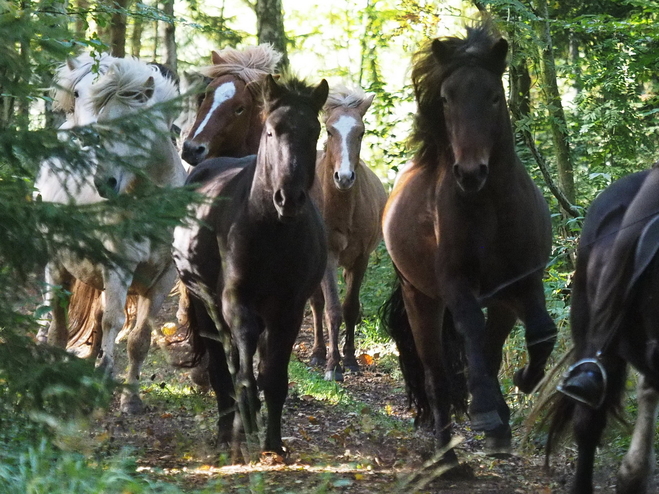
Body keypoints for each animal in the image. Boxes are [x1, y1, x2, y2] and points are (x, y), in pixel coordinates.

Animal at [38, 56, 187, 414]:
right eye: (105, 125)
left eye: (134, 127)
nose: (103, 182)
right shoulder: (119, 267)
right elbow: (113, 323)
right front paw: (104, 381)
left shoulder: (163, 277)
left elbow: (139, 338)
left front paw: (130, 398)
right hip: (58, 265)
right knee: (58, 321)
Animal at [173, 74, 330, 460]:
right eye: (272, 131)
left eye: (315, 132)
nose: (289, 198)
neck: (272, 230)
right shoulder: (236, 304)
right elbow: (241, 376)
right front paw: (246, 426)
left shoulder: (288, 310)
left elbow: (273, 378)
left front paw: (273, 443)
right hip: (205, 307)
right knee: (221, 369)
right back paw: (227, 433)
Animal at [308, 85, 386, 380]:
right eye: (330, 131)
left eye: (360, 132)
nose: (344, 177)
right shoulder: (328, 257)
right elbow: (332, 309)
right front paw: (333, 365)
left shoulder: (361, 258)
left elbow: (351, 308)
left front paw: (350, 360)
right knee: (316, 303)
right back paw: (318, 354)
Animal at [382, 24, 556, 470]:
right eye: (446, 98)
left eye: (494, 96)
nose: (470, 173)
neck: (490, 206)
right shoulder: (456, 285)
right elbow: (471, 334)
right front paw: (485, 414)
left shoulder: (523, 284)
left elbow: (542, 332)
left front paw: (522, 384)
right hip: (421, 300)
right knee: (437, 376)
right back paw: (447, 459)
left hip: (500, 303)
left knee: (491, 350)